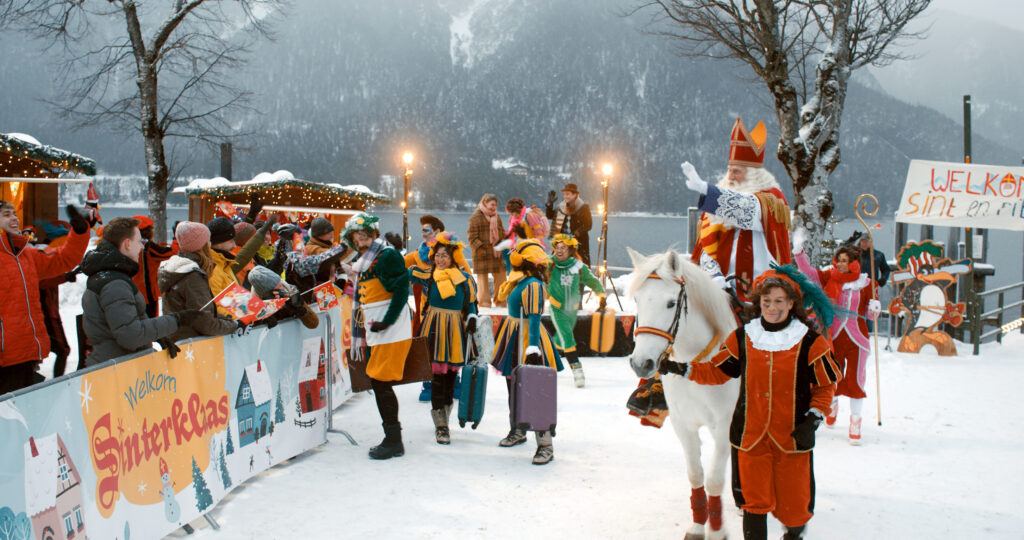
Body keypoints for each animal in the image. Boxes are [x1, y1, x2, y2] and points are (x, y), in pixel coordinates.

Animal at [626, 247, 741, 540]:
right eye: (638, 300)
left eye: (670, 303)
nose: (641, 363)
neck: (697, 366)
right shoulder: (683, 424)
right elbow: (696, 475)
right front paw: (699, 526)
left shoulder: (724, 425)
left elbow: (714, 480)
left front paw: (717, 530)